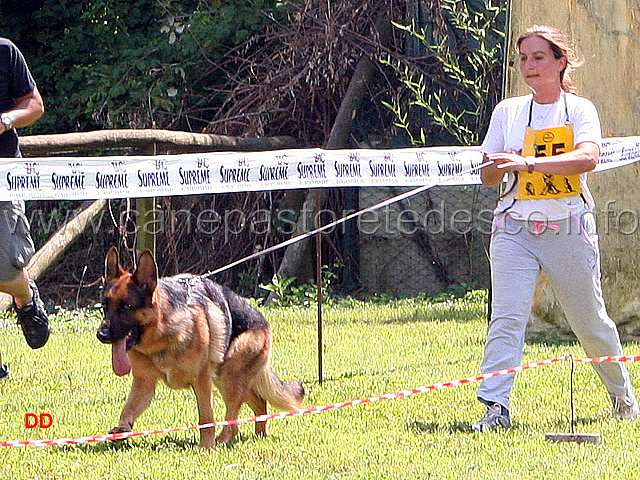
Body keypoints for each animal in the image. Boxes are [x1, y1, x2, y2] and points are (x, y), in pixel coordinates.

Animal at [96, 248, 304, 450]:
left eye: (127, 306)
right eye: (105, 306)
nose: (101, 335)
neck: (162, 338)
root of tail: (263, 322)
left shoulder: (202, 381)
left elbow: (206, 418)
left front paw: (206, 445)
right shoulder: (144, 383)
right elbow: (128, 408)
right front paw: (122, 429)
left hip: (229, 377)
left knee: (233, 421)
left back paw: (222, 440)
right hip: (225, 378)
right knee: (259, 403)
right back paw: (259, 434)